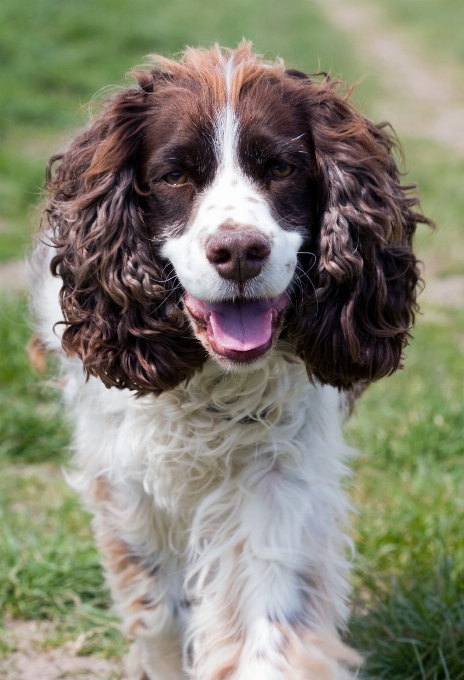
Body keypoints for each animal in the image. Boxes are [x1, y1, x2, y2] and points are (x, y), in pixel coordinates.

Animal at [32, 42, 430, 680]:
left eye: (282, 169)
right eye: (174, 175)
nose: (240, 251)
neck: (208, 381)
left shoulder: (276, 469)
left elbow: (269, 616)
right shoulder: (122, 475)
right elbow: (158, 608)